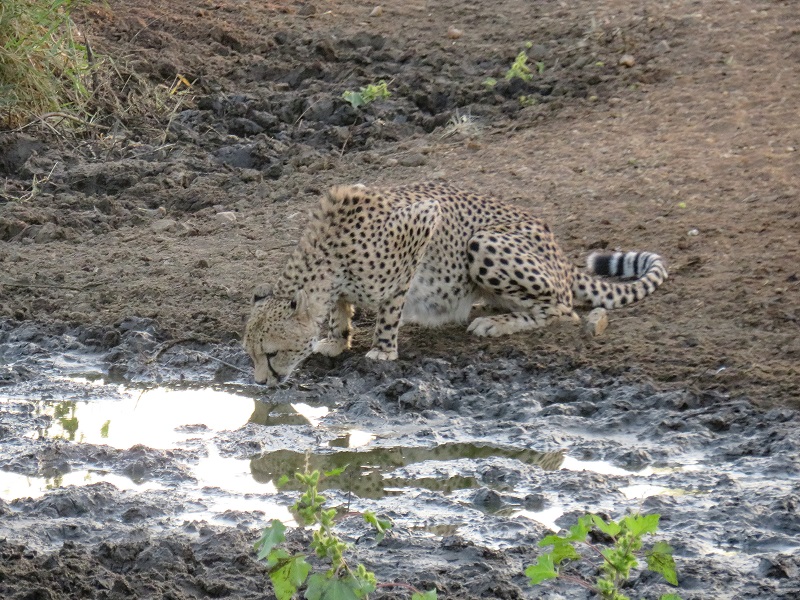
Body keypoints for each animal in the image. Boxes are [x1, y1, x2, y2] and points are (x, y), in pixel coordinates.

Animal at [244, 182, 668, 386]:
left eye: (271, 353)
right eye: (251, 355)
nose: (262, 383)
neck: (330, 253)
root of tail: (560, 254)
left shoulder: (422, 224)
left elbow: (390, 307)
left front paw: (382, 350)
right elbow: (339, 309)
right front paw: (335, 339)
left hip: (484, 242)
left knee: (563, 310)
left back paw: (496, 323)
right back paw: (488, 306)